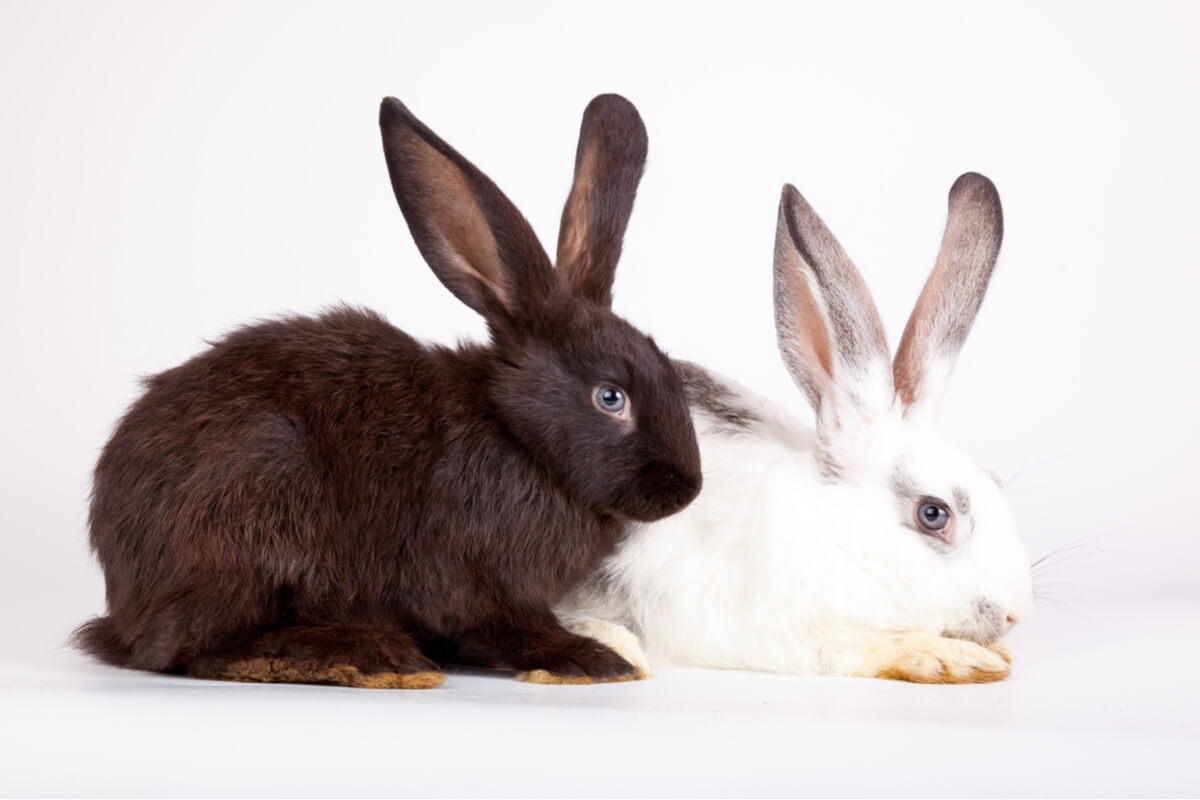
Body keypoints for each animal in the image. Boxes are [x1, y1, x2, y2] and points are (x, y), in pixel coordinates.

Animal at [72, 94, 702, 689]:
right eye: (610, 397)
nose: (687, 489)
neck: (518, 437)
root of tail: (122, 605)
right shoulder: (473, 579)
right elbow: (512, 626)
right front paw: (590, 658)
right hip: (259, 495)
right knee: (191, 644)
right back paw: (366, 656)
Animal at [557, 173, 1036, 684]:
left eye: (996, 483)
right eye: (933, 513)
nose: (1016, 614)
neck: (829, 531)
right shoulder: (777, 630)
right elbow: (856, 647)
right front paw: (954, 658)